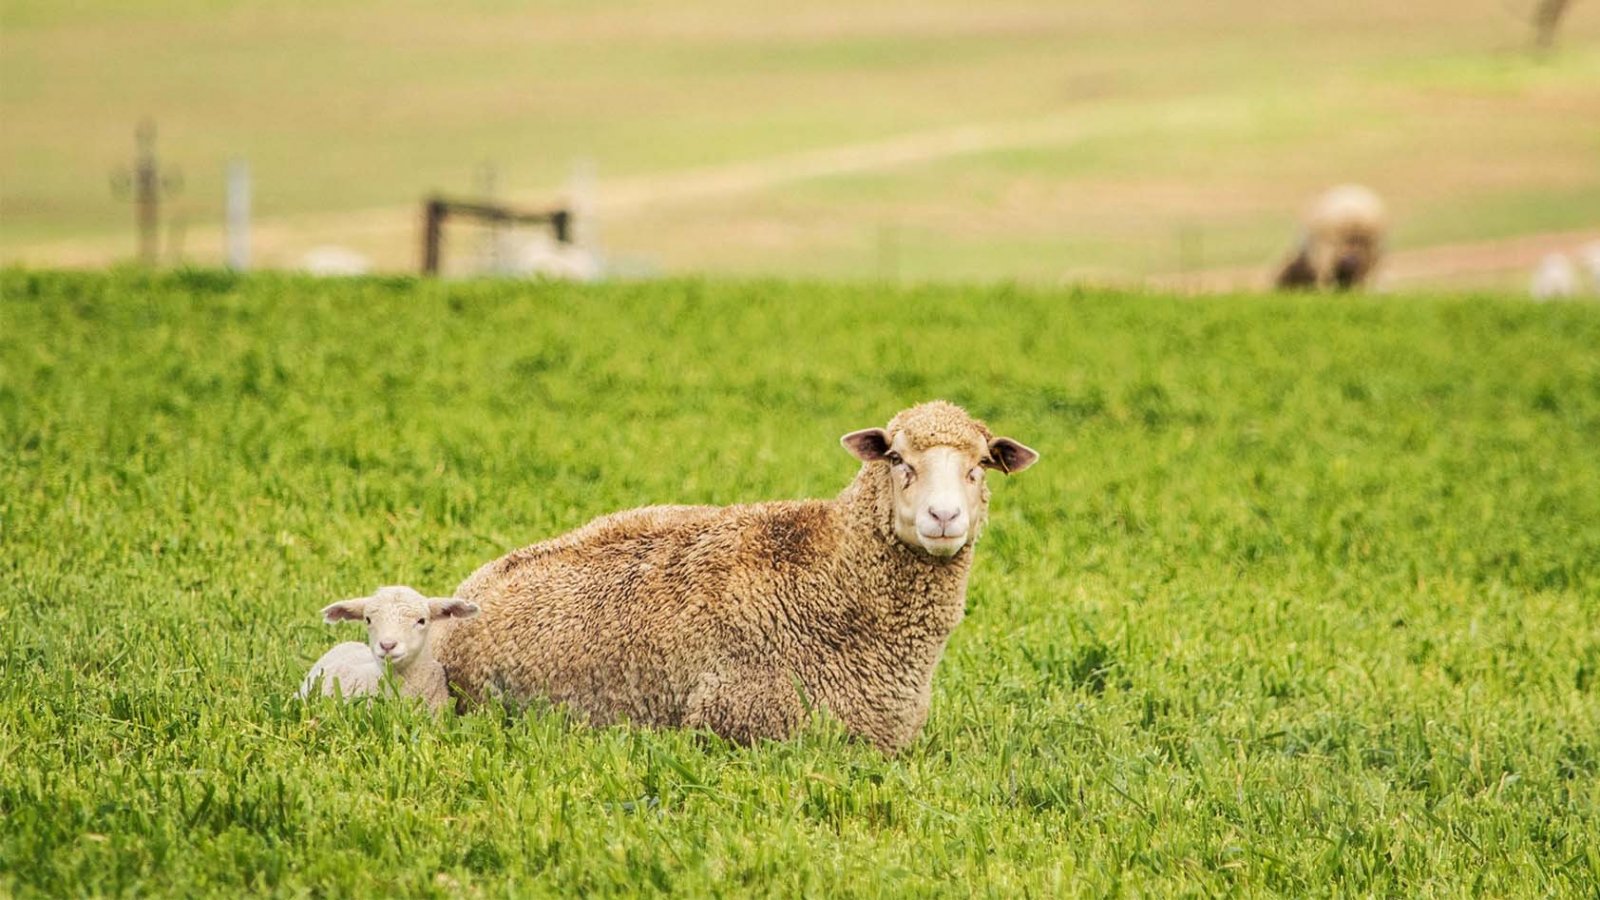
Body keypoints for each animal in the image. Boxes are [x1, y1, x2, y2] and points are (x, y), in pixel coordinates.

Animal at [435, 398, 1036, 749]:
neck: (831, 577)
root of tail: (471, 585)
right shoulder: (743, 724)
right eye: (896, 460)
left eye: (980, 466)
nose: (944, 517)